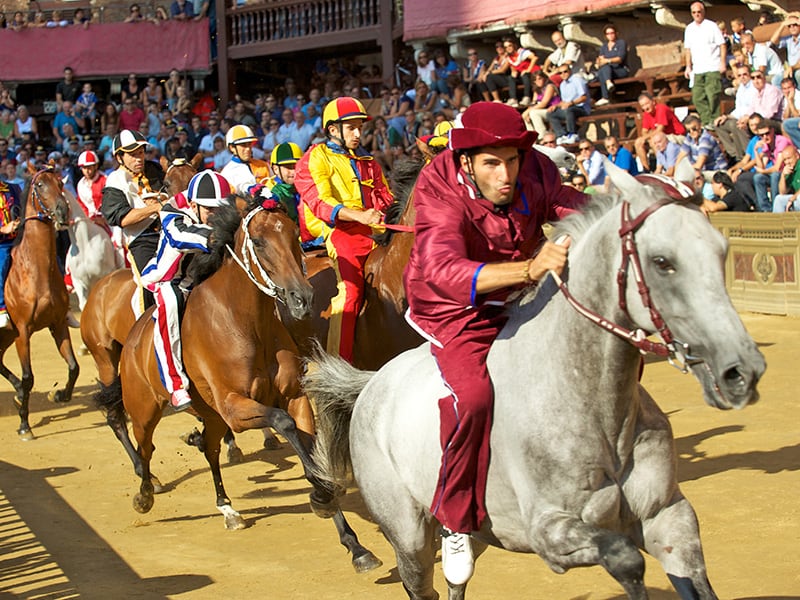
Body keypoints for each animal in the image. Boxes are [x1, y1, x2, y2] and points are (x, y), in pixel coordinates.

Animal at [0, 166, 78, 438]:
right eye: (40, 185)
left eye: (60, 183)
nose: (62, 211)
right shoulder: (22, 331)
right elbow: (28, 376)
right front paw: (24, 424)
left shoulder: (58, 324)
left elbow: (73, 367)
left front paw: (60, 394)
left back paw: (16, 393)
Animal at [115, 197, 382, 572]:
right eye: (258, 241)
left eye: (294, 234)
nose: (302, 297)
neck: (245, 322)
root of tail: (132, 338)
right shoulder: (235, 407)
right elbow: (283, 423)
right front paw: (322, 494)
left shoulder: (292, 397)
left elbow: (307, 444)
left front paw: (352, 539)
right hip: (145, 410)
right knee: (146, 448)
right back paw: (144, 495)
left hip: (211, 415)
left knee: (210, 448)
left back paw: (227, 507)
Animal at [304, 164, 764, 600]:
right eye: (662, 261)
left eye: (720, 251)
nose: (741, 370)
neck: (594, 407)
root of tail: (372, 384)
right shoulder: (549, 532)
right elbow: (626, 559)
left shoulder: (668, 516)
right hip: (408, 532)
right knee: (421, 584)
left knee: (457, 579)